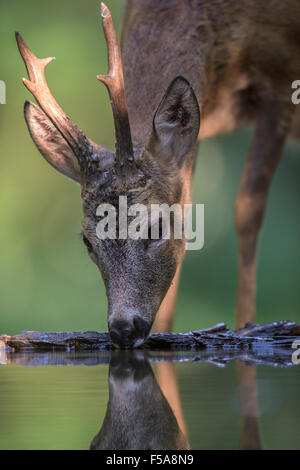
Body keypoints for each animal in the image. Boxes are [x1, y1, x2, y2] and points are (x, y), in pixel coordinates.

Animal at [17, 0, 300, 346]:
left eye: (156, 228)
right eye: (87, 241)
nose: (123, 329)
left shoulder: (281, 81)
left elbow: (248, 209)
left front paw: (247, 325)